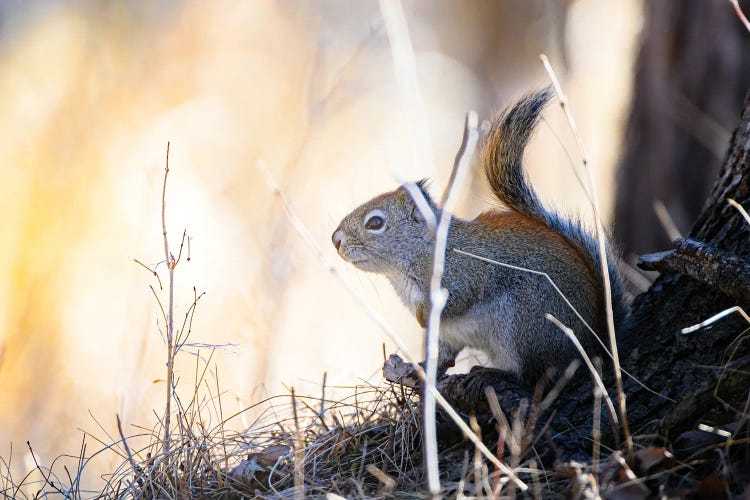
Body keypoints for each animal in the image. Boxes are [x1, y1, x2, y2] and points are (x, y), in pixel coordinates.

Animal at [332, 89, 632, 386]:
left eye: (375, 223)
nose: (336, 240)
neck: (420, 252)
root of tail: (591, 348)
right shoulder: (445, 334)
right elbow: (443, 358)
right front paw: (420, 369)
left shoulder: (462, 272)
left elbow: (458, 298)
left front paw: (422, 316)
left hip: (523, 323)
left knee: (534, 375)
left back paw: (494, 372)